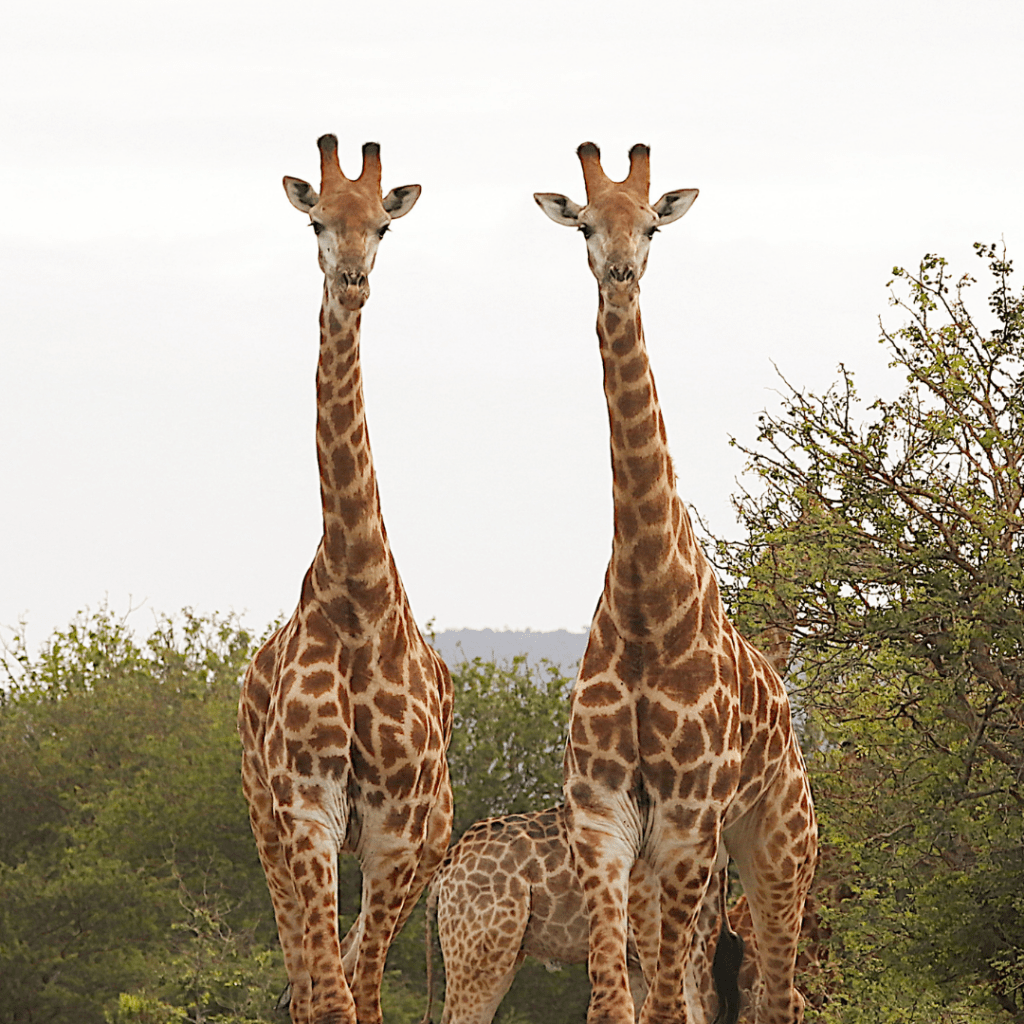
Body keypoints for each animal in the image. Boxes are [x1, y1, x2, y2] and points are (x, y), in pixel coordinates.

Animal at [533, 144, 818, 1024]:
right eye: (586, 224)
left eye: (652, 223)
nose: (621, 271)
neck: (645, 597)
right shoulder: (601, 818)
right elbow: (615, 1004)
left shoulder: (692, 819)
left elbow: (660, 1008)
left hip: (779, 844)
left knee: (780, 994)